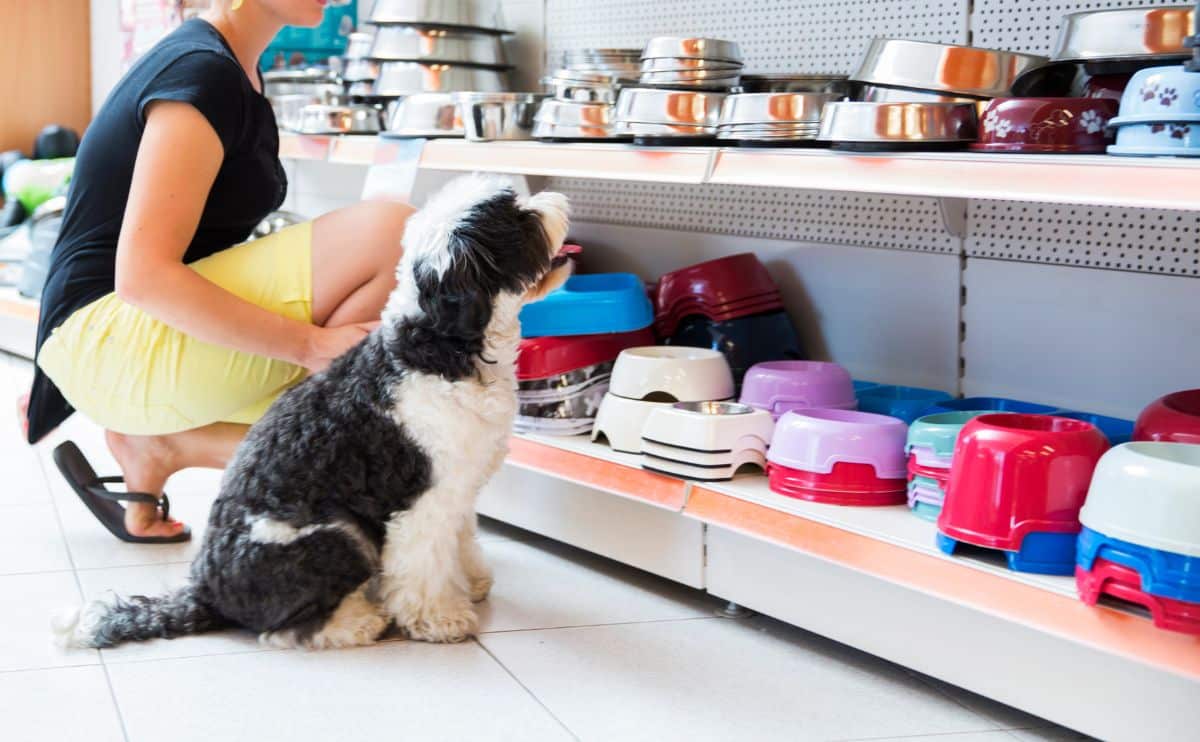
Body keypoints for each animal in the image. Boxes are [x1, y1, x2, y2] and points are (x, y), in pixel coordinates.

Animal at [58, 172, 573, 648]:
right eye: (516, 216)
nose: (558, 200)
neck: (438, 347)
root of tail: (206, 593)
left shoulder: (459, 488)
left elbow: (461, 539)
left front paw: (471, 582)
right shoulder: (422, 501)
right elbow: (425, 564)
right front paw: (439, 618)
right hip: (337, 535)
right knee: (288, 628)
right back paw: (360, 621)